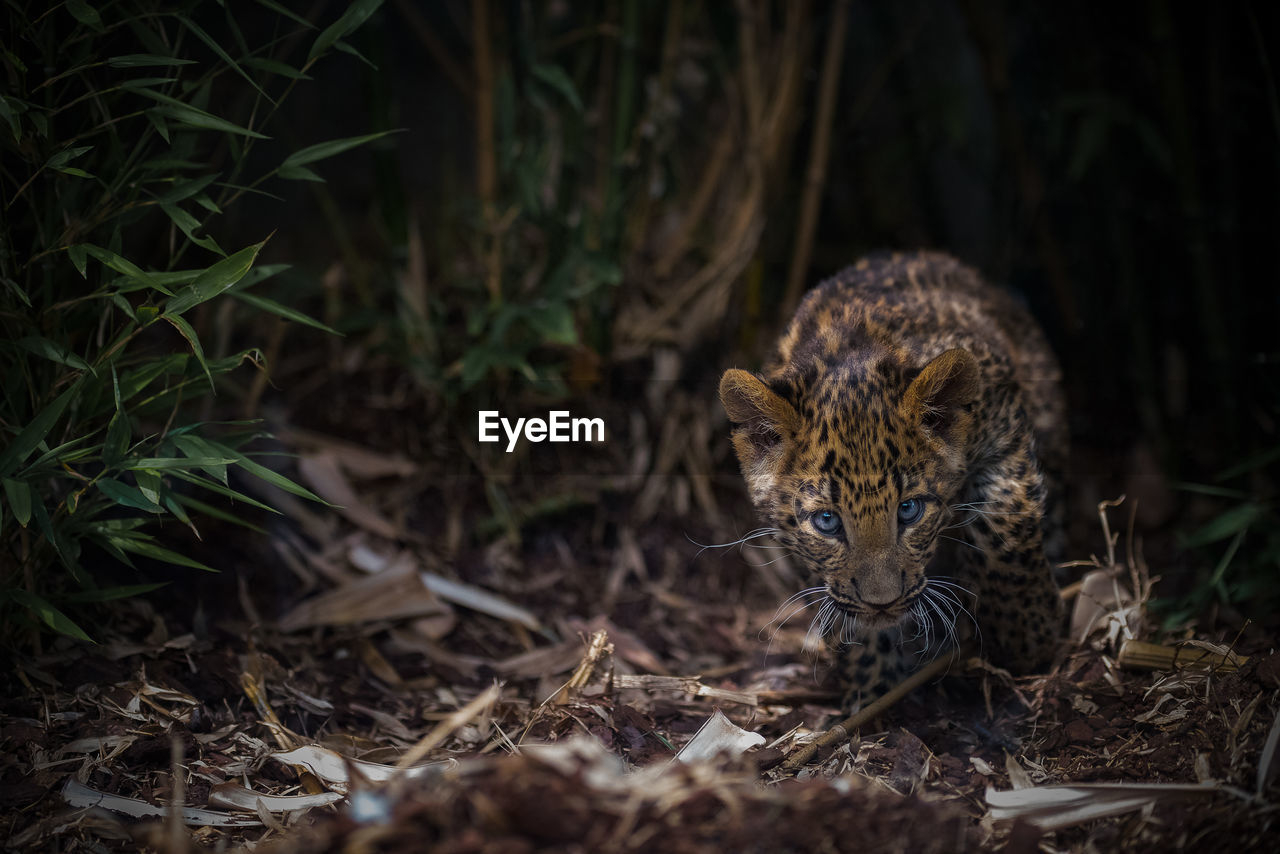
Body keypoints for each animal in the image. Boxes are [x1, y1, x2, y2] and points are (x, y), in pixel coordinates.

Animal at [727, 250, 1064, 711]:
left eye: (909, 510)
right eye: (827, 522)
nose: (882, 603)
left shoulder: (1003, 425)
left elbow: (1003, 524)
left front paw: (1028, 637)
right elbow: (842, 608)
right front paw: (874, 691)